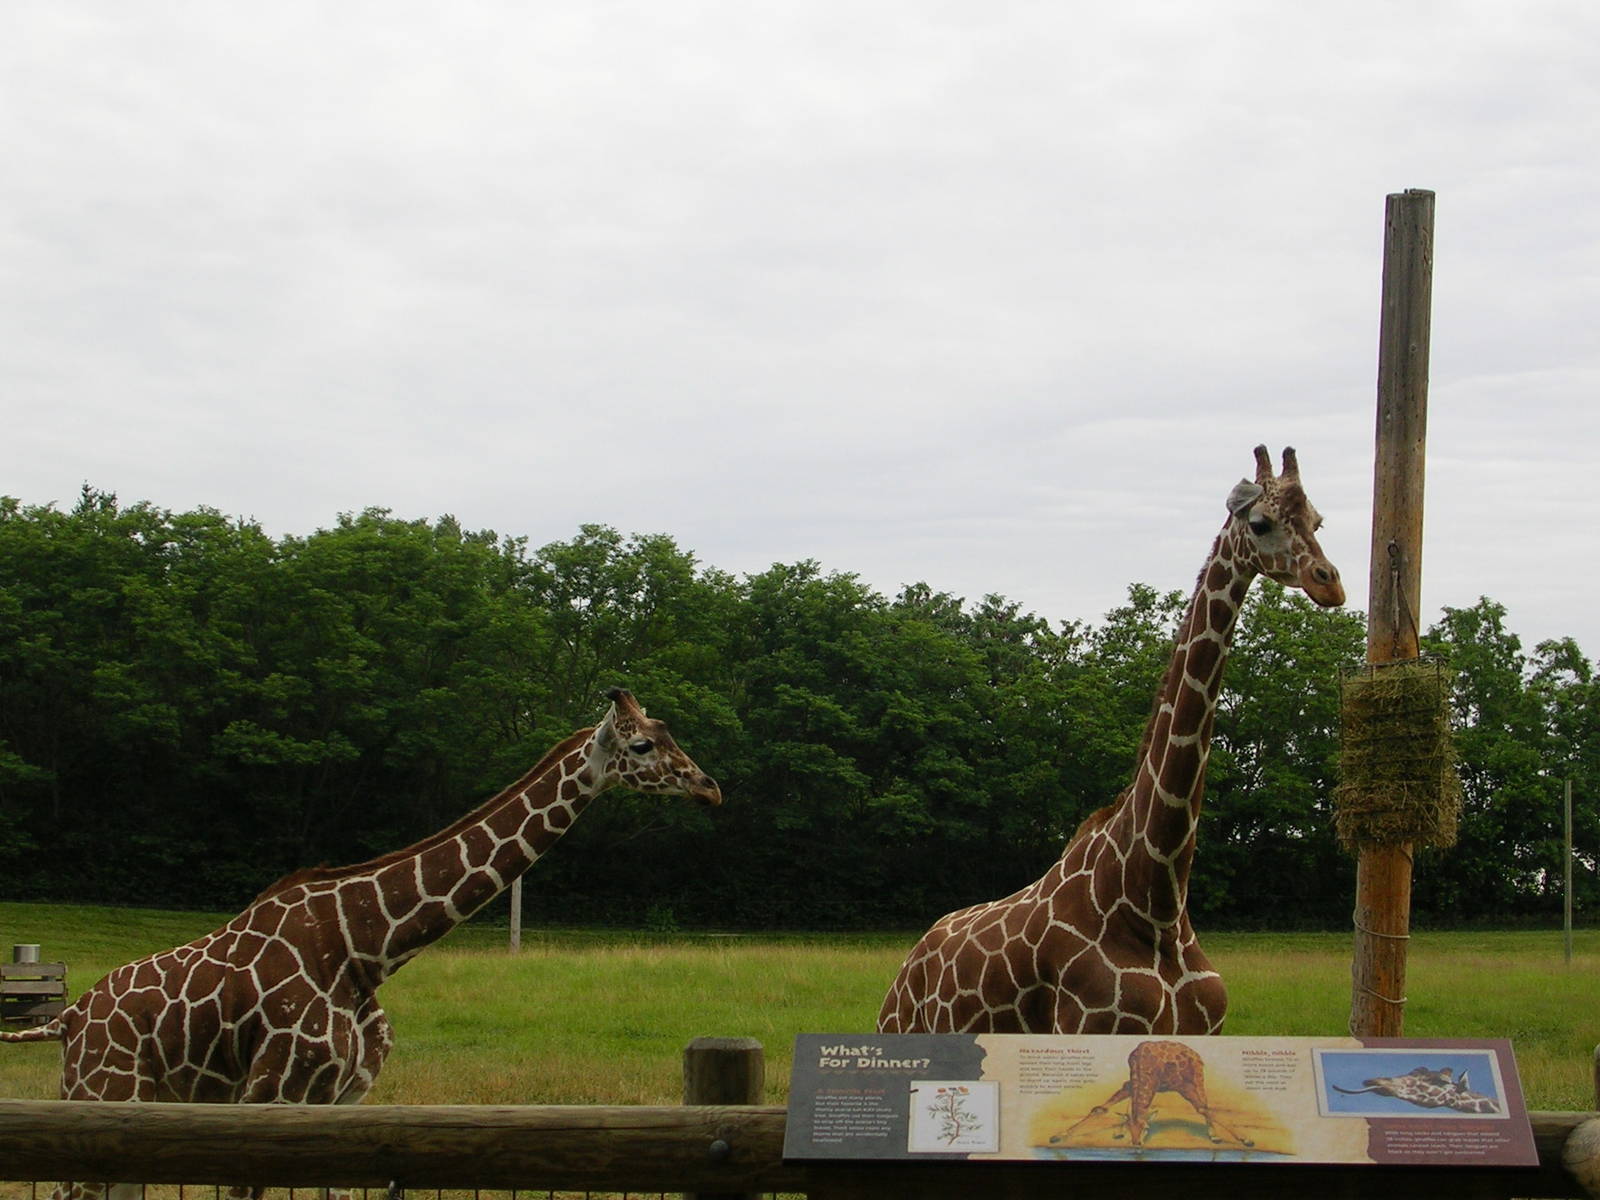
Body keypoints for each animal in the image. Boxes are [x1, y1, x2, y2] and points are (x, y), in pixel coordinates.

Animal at [1, 688, 720, 1200]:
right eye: (642, 744)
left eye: (669, 733)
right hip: (103, 1093)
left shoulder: (341, 1099)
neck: (363, 949)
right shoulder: (271, 1094)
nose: (708, 785)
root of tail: (68, 1017)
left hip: (134, 1111)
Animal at [878, 445, 1344, 1036]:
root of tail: (907, 966)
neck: (1154, 903)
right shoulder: (1089, 1029)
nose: (1329, 582)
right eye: (1260, 523)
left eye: (1317, 521)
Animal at [1047, 1040, 1255, 1148]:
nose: (1137, 1143)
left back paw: (1215, 1136)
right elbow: (1101, 1108)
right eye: (1132, 1129)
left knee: (1205, 1103)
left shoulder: (1180, 1085)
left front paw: (1246, 1139)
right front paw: (1057, 1136)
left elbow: (1202, 1108)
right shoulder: (1131, 1082)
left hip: (1197, 1076)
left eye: (1147, 1128)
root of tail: (1194, 1053)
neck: (1143, 1064)